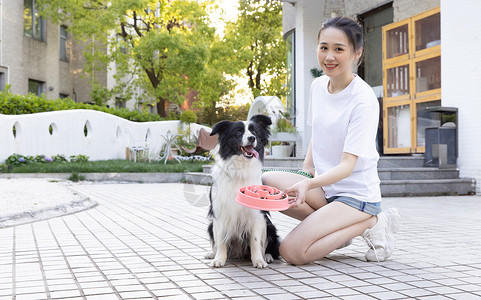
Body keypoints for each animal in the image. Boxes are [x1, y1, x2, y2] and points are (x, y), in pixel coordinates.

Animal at [205, 115, 280, 270]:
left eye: (255, 132)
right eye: (238, 132)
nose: (252, 138)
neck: (240, 170)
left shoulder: (257, 215)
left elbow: (256, 241)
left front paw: (258, 260)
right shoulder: (220, 213)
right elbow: (220, 240)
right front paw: (218, 259)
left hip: (270, 226)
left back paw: (267, 256)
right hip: (210, 226)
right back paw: (212, 253)